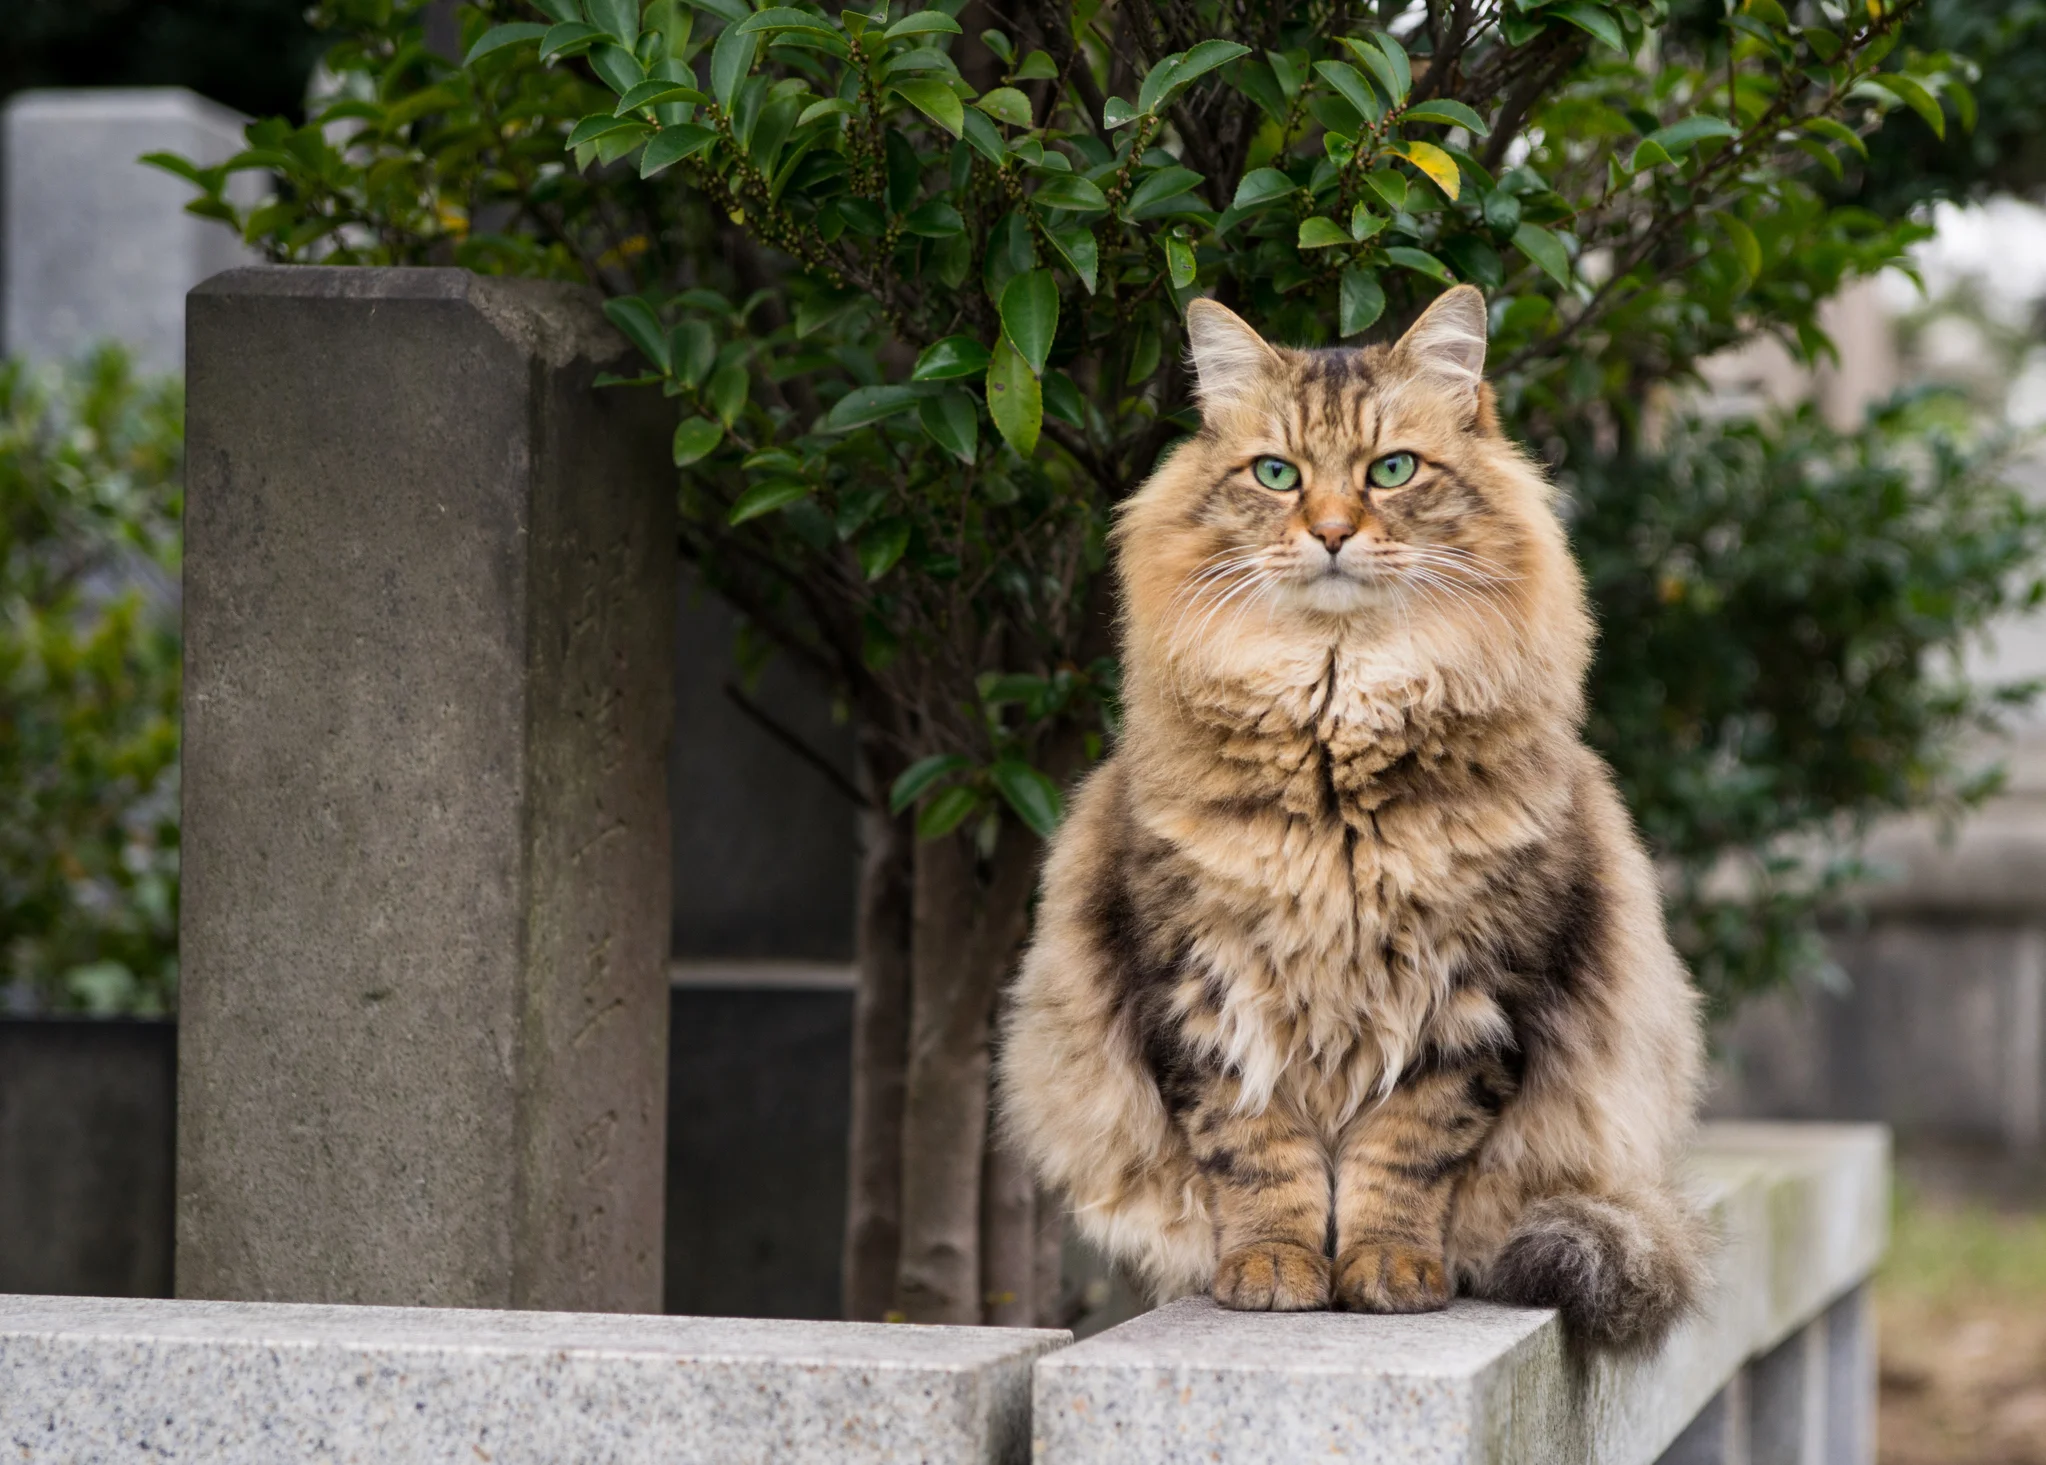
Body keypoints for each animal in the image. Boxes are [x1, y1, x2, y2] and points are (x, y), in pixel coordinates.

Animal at [998, 286, 1702, 1350]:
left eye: (1392, 469)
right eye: (1278, 473)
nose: (1330, 529)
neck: (1335, 732)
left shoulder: (1471, 997)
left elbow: (1403, 1156)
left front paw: (1387, 1272)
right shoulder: (1203, 989)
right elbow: (1259, 1157)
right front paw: (1275, 1270)